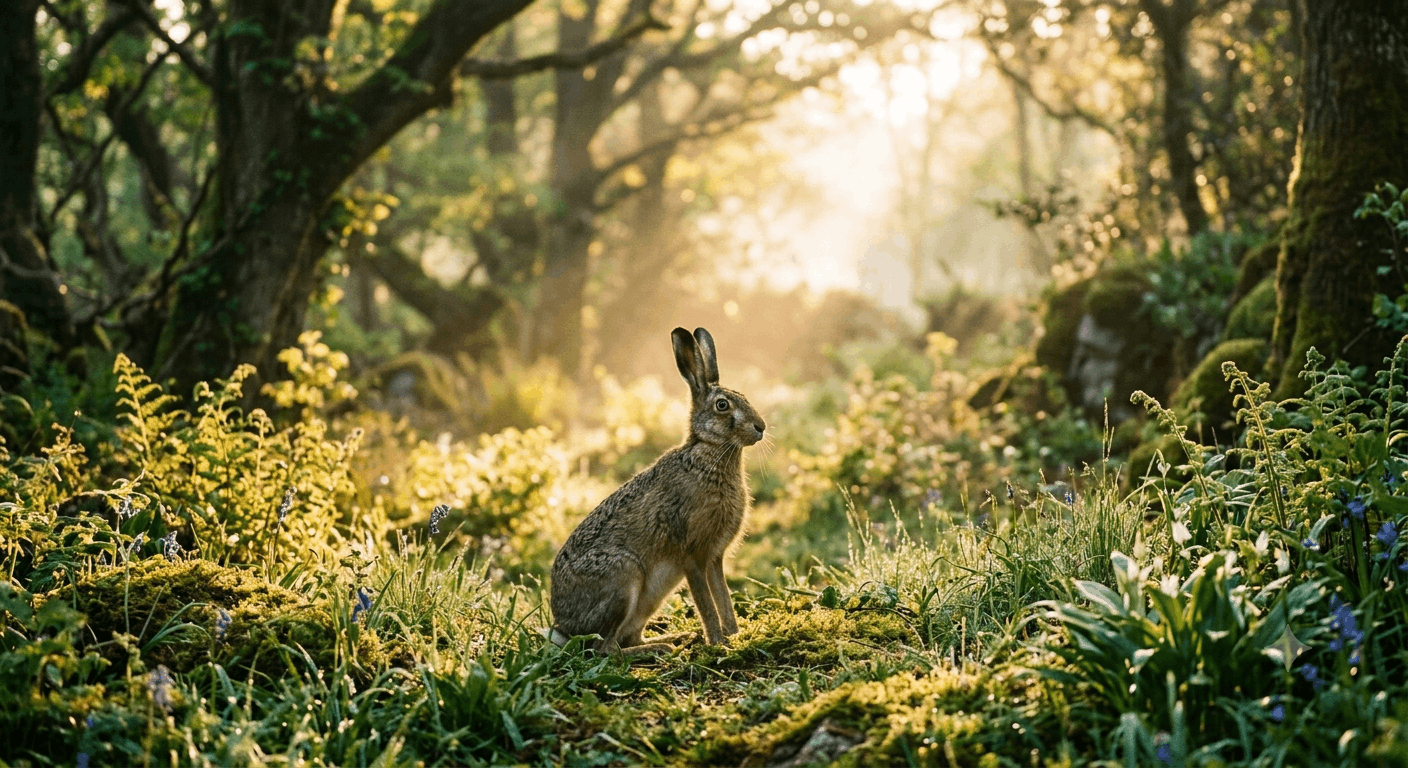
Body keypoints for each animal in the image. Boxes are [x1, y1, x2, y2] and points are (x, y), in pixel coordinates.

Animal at [549, 327, 767, 654]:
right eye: (722, 405)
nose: (761, 427)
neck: (706, 453)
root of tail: (564, 626)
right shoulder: (692, 554)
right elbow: (706, 603)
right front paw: (719, 645)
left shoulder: (714, 557)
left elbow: (723, 597)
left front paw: (734, 637)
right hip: (624, 576)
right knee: (606, 650)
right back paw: (660, 649)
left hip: (648, 599)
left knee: (627, 638)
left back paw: (672, 640)